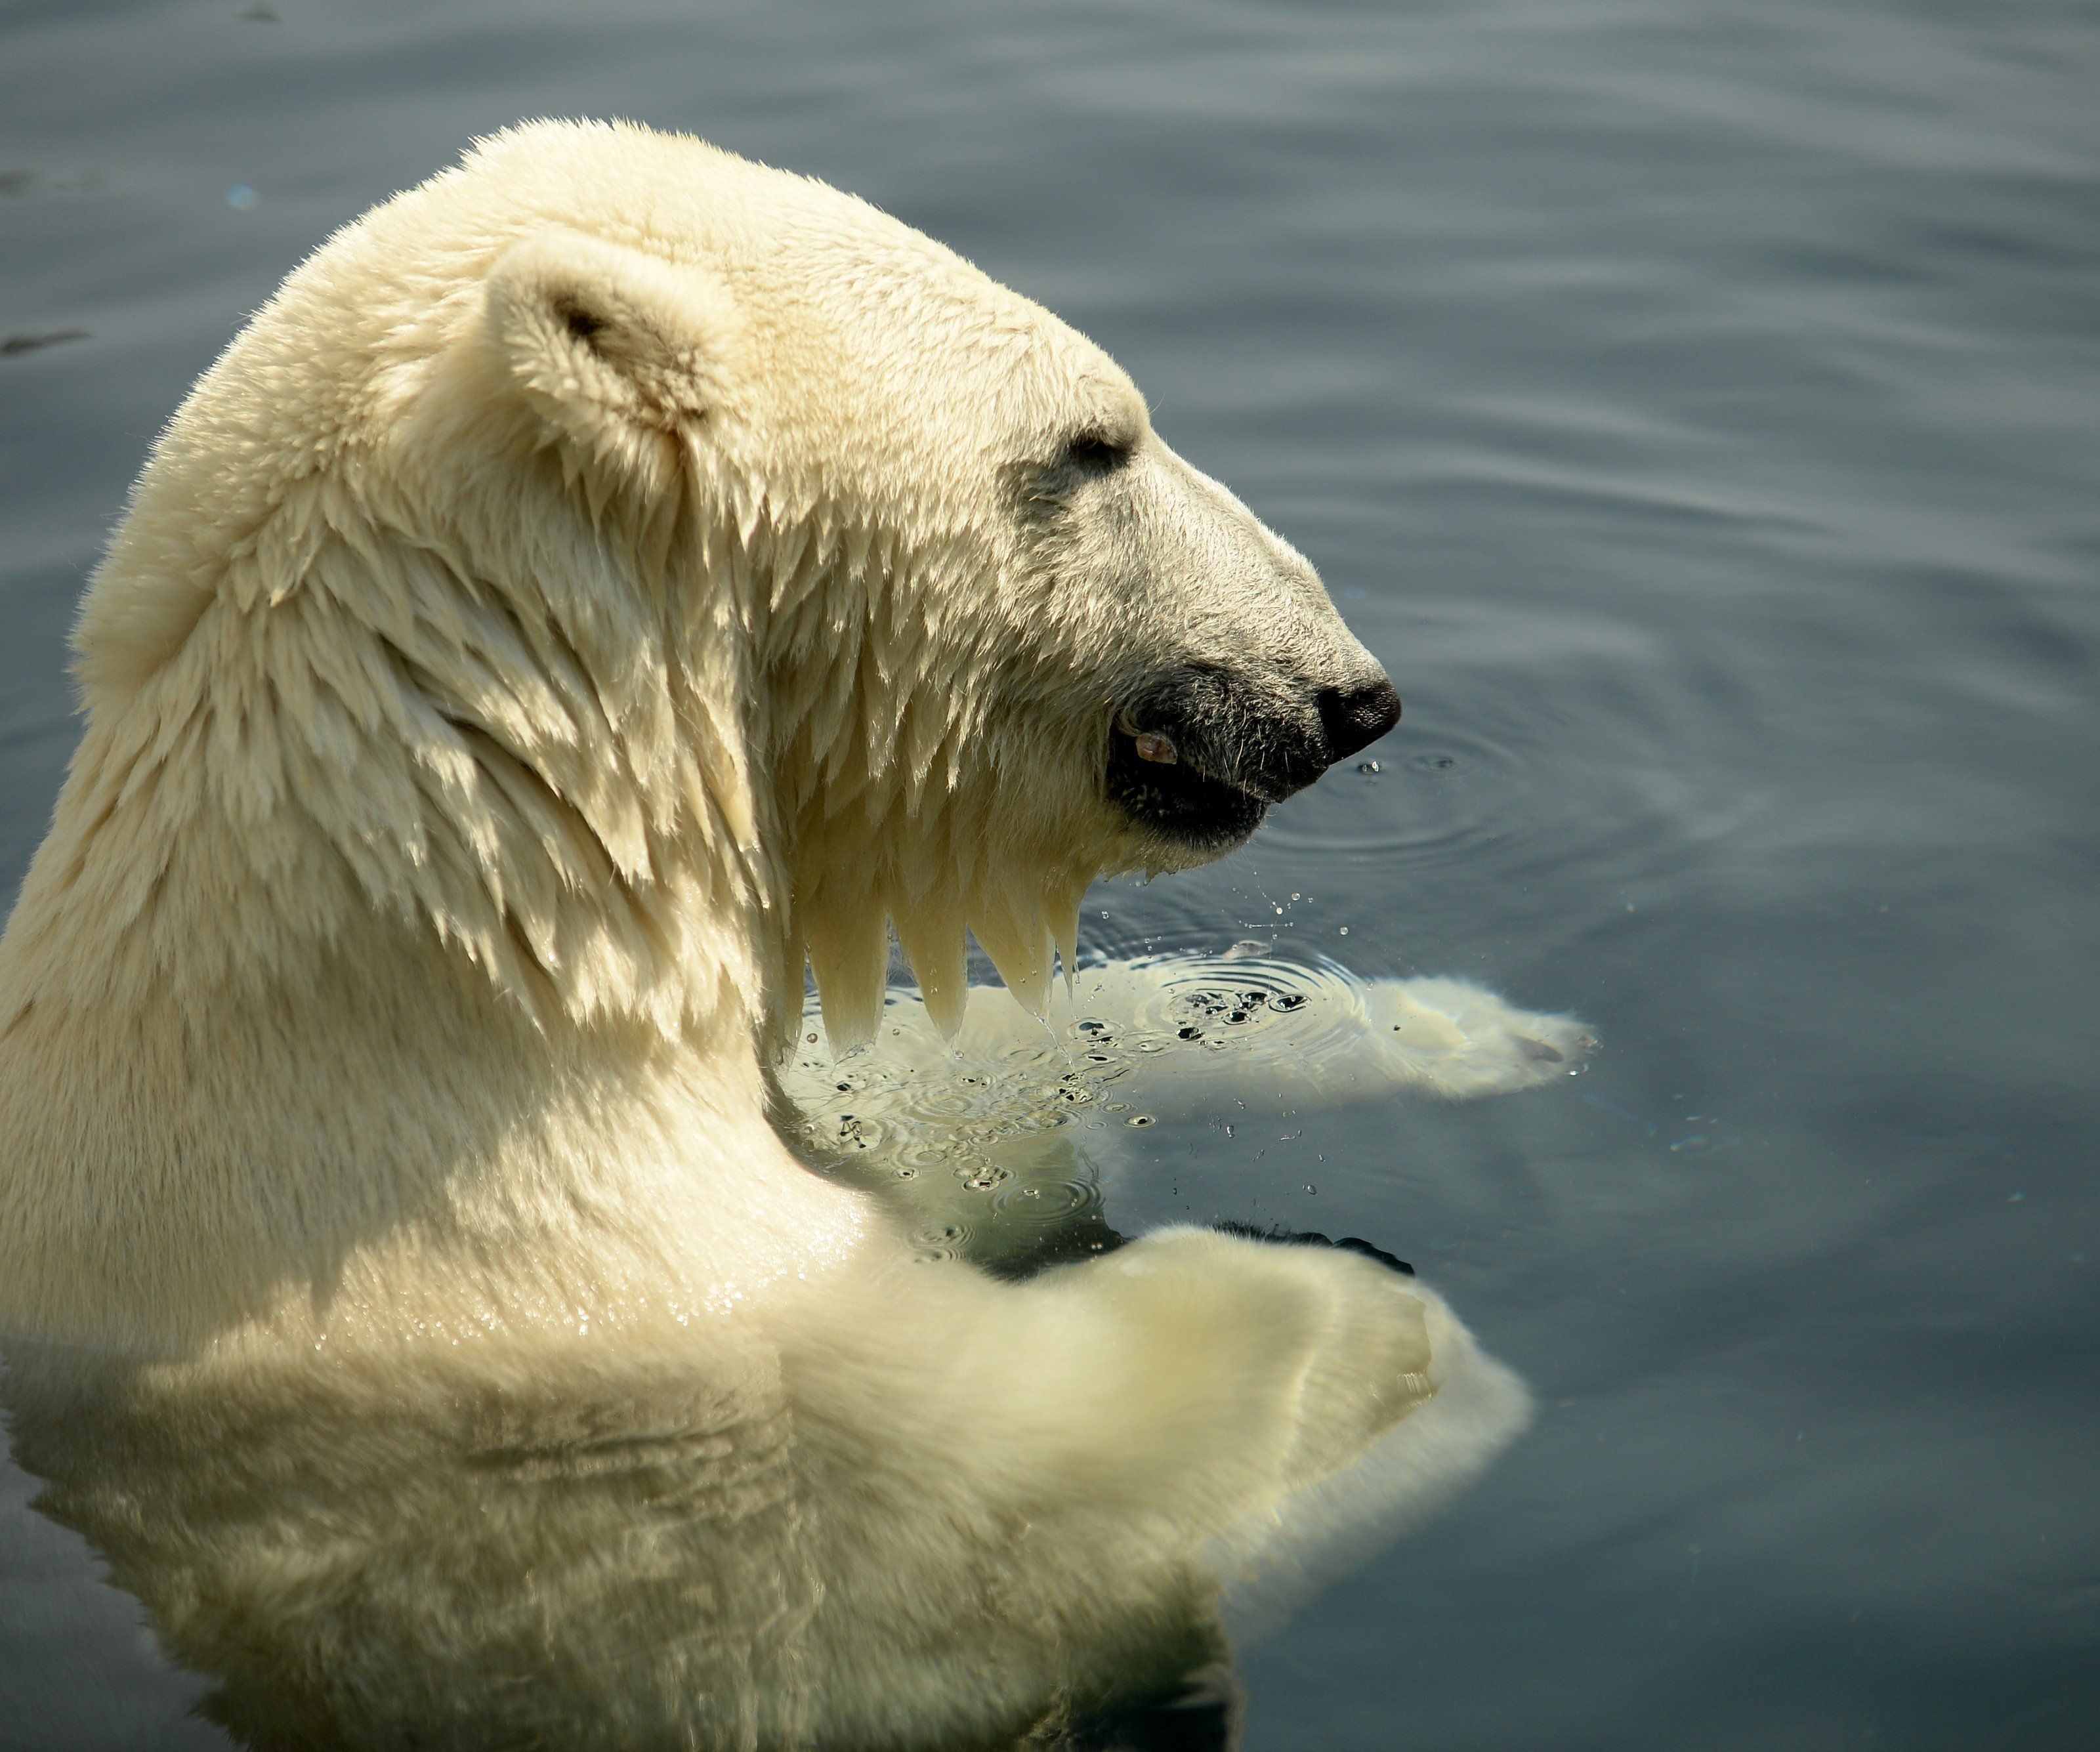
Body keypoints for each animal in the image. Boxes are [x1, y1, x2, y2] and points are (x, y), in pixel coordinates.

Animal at [0, 119, 1579, 1730]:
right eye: (1093, 443)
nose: (1347, 697)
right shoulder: (609, 1336)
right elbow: (982, 1509)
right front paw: (1389, 1340)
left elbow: (940, 1109)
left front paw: (1448, 1031)